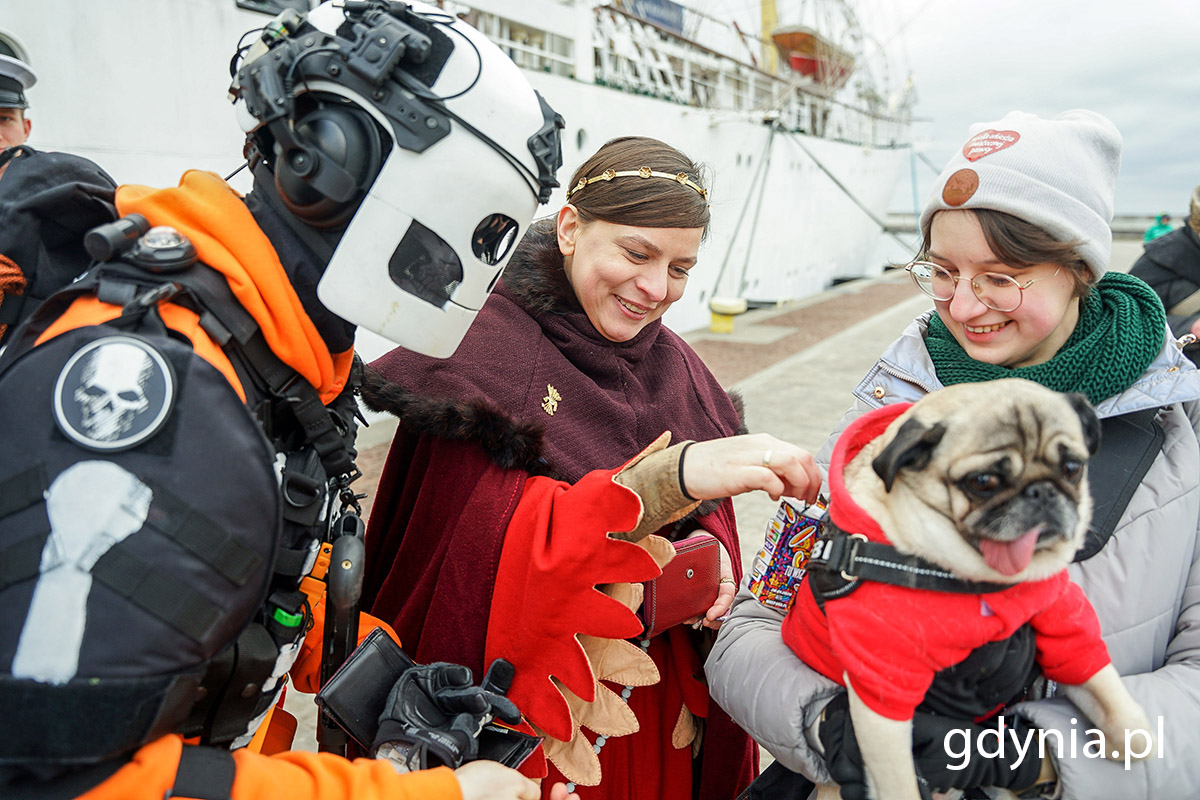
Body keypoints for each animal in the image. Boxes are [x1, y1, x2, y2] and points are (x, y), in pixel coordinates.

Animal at [787, 381, 1152, 800]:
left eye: (1072, 468)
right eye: (983, 482)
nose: (1042, 492)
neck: (976, 577)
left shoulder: (1061, 617)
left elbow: (1098, 677)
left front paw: (1134, 736)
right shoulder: (883, 689)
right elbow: (900, 781)